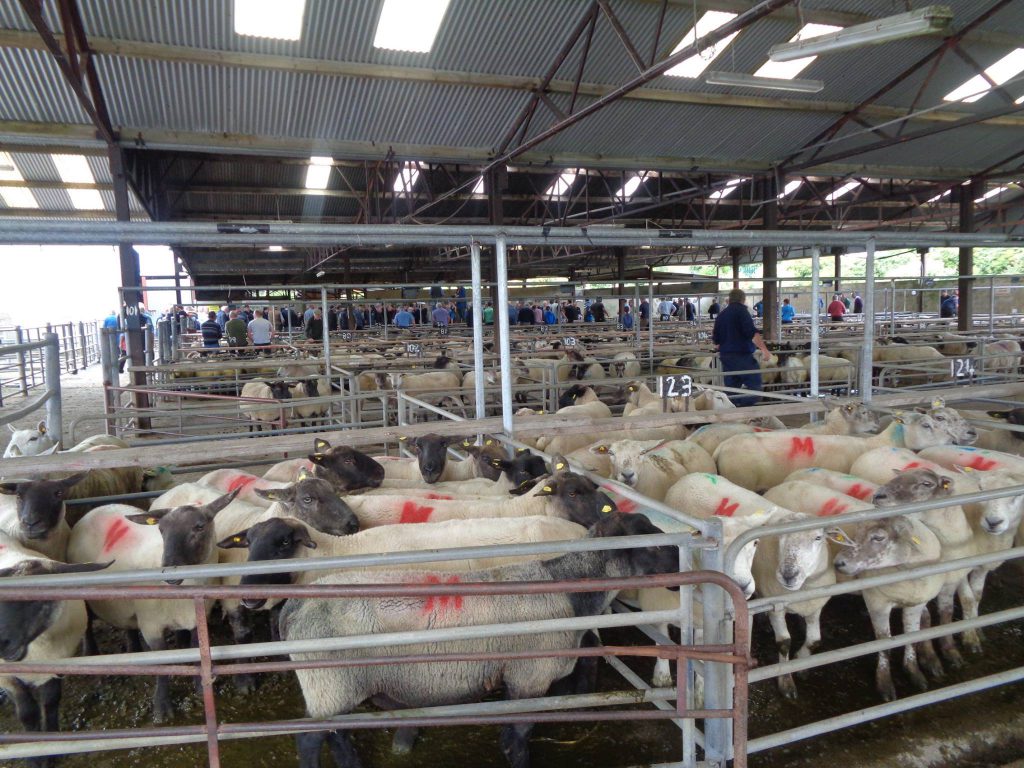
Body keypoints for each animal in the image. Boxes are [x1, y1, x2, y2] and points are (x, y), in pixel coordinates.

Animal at [0, 535, 109, 757]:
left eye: (40, 600)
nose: (1, 642)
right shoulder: (6, 677)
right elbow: (27, 713)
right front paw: (34, 754)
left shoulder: (57, 664)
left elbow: (50, 701)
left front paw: (50, 744)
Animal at [66, 490, 239, 722]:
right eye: (161, 530)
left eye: (199, 526)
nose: (169, 572)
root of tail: (98, 508)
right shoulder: (151, 626)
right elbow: (162, 662)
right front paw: (161, 707)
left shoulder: (198, 617)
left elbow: (196, 649)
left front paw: (199, 687)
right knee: (86, 625)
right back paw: (93, 655)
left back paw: (135, 650)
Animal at [278, 511, 678, 768]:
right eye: (653, 547)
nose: (680, 564)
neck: (568, 588)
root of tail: (294, 607)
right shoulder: (530, 678)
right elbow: (521, 733)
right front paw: (518, 759)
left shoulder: (516, 678)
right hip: (329, 684)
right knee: (309, 738)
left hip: (335, 688)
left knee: (337, 734)